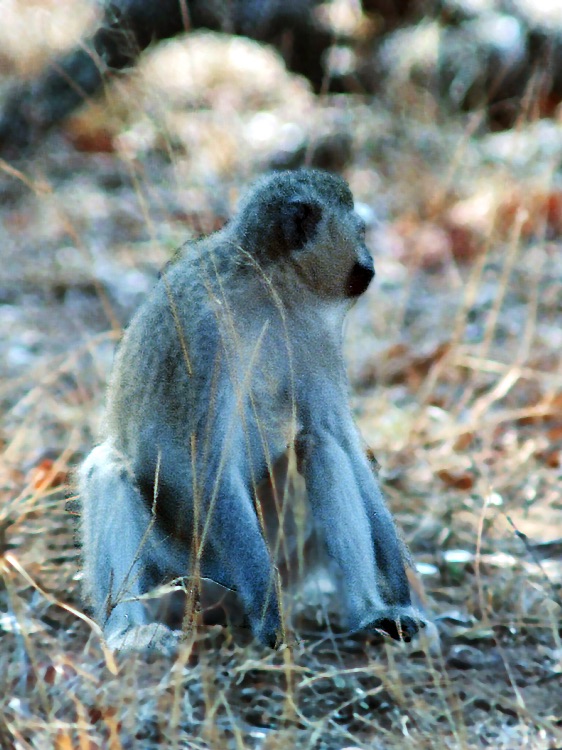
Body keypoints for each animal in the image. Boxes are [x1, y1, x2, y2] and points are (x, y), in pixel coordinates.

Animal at [79, 168, 425, 652]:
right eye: (359, 232)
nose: (370, 264)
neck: (265, 286)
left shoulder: (313, 333)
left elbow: (339, 438)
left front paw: (396, 585)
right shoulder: (203, 332)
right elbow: (207, 463)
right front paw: (268, 611)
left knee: (317, 445)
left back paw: (371, 612)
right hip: (187, 565)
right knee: (108, 469)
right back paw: (129, 631)